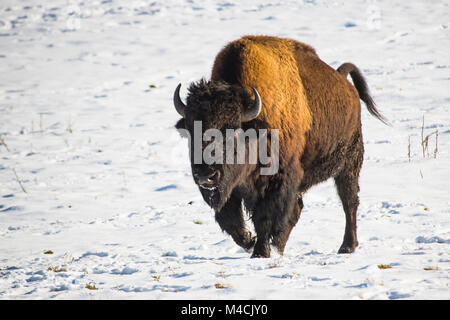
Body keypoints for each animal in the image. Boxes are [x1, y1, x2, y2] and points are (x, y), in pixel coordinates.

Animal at [172, 35, 386, 258]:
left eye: (232, 130)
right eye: (191, 129)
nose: (206, 175)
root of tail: (346, 84)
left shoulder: (278, 180)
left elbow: (265, 218)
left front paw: (260, 252)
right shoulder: (231, 188)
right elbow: (231, 222)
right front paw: (251, 242)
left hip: (349, 163)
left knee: (349, 201)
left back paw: (346, 246)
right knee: (299, 209)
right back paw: (281, 248)